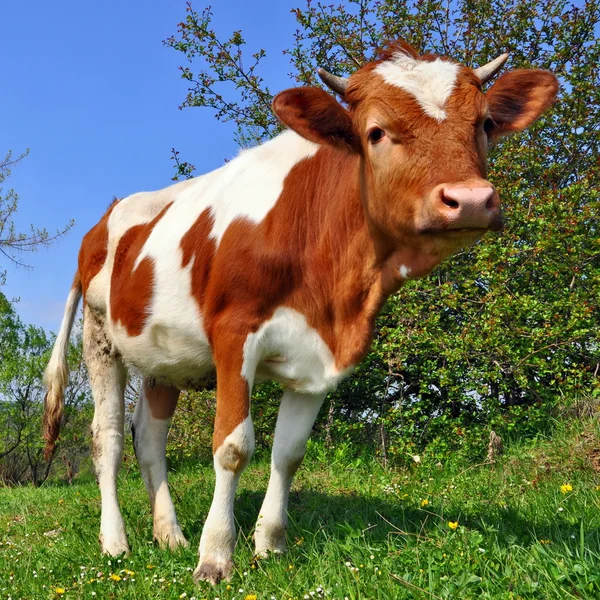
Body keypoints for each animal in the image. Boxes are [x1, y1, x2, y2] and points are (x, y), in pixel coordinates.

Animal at [41, 39, 556, 584]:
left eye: (484, 123)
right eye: (375, 132)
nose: (471, 200)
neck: (336, 293)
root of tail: (105, 217)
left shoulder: (320, 357)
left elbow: (288, 454)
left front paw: (269, 546)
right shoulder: (234, 335)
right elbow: (233, 446)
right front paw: (215, 556)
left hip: (164, 357)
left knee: (150, 439)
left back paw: (170, 535)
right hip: (100, 337)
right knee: (108, 439)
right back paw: (116, 543)